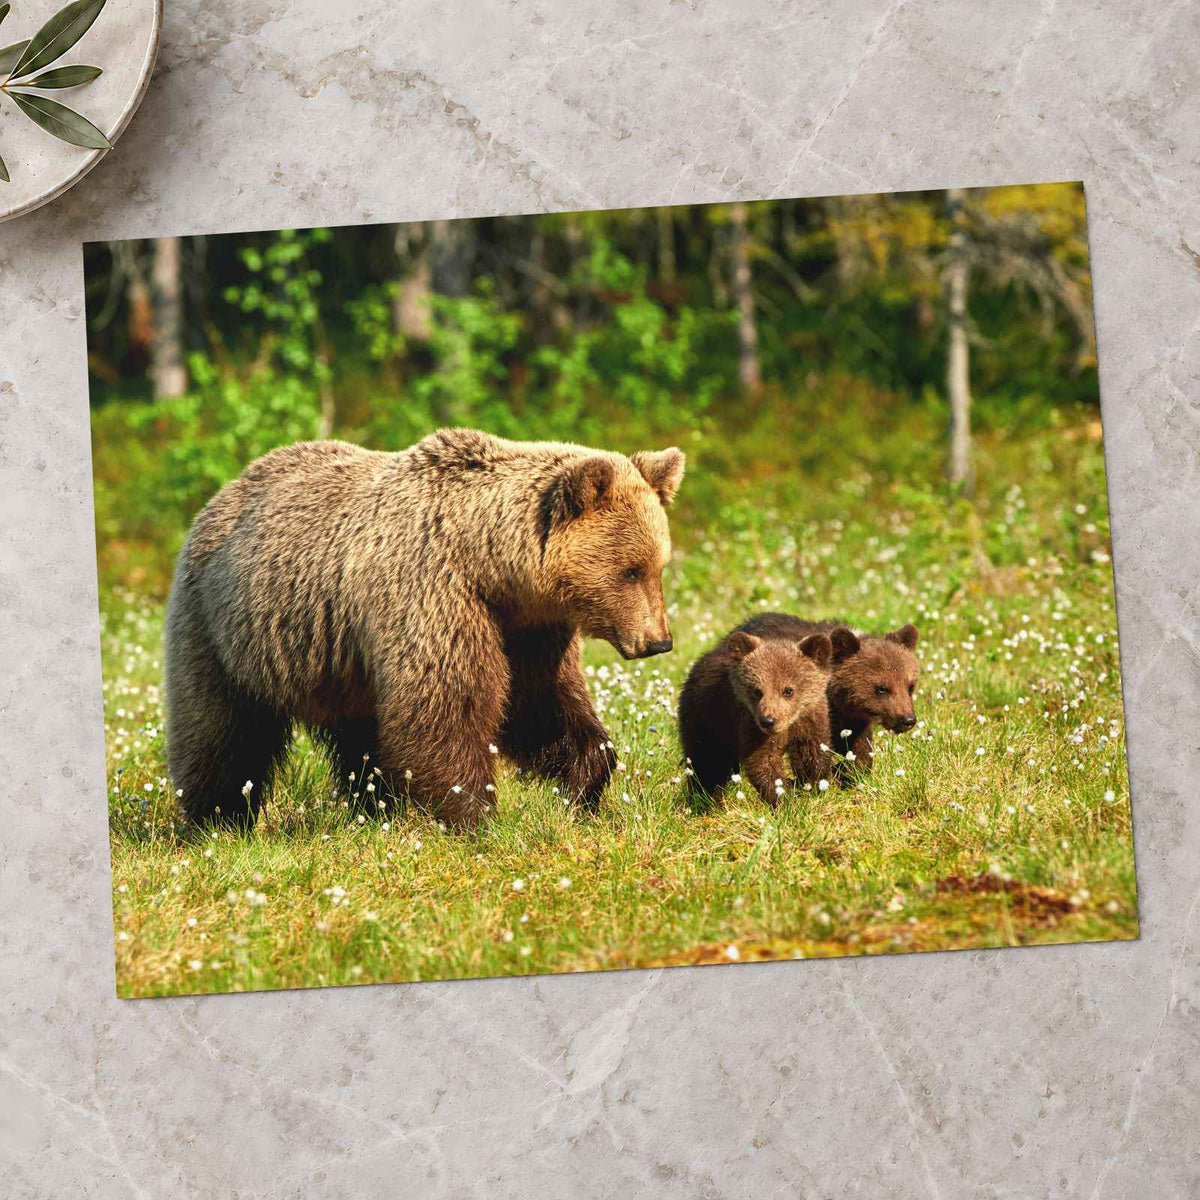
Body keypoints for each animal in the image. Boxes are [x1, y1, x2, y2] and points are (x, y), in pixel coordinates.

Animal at [164, 428, 685, 829]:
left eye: (658, 566)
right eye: (630, 570)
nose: (658, 640)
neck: (489, 564)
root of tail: (224, 492)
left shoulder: (527, 627)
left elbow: (539, 703)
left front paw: (586, 780)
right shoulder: (432, 593)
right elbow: (446, 703)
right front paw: (475, 812)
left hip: (340, 665)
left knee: (360, 739)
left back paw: (372, 809)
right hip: (224, 627)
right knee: (222, 730)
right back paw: (217, 819)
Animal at [678, 627, 834, 806]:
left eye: (788, 690)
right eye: (757, 691)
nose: (768, 721)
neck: (790, 722)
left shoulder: (809, 719)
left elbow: (812, 751)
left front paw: (814, 786)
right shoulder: (749, 723)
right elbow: (764, 760)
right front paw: (781, 799)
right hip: (707, 720)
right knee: (707, 762)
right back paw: (704, 800)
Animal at [735, 614, 920, 779]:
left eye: (910, 686)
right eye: (882, 689)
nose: (907, 719)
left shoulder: (853, 720)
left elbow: (860, 750)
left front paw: (849, 771)